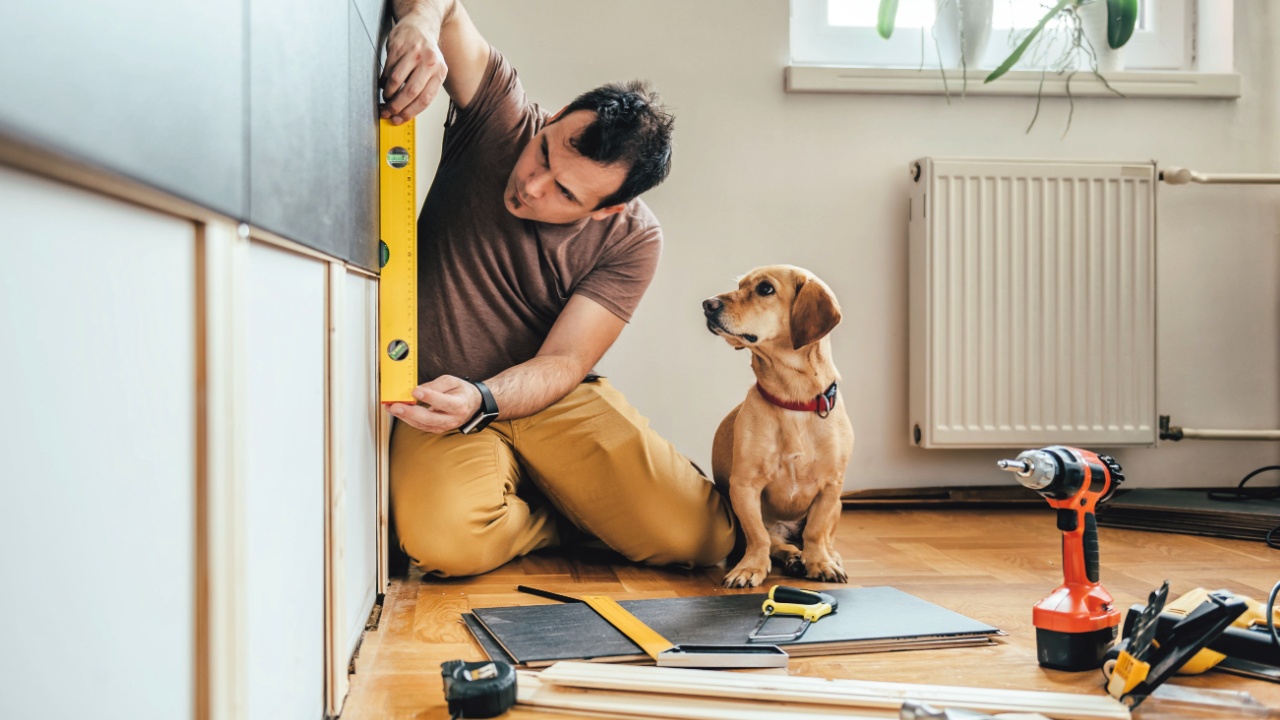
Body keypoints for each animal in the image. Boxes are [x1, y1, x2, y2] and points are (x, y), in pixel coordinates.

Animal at [706, 266, 855, 586]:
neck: (793, 400)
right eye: (740, 286)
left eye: (765, 289)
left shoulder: (831, 487)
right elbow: (759, 537)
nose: (707, 304)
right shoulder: (745, 486)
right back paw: (792, 557)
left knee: (822, 538)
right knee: (777, 543)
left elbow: (815, 531)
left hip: (838, 505)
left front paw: (820, 563)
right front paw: (750, 568)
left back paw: (824, 557)